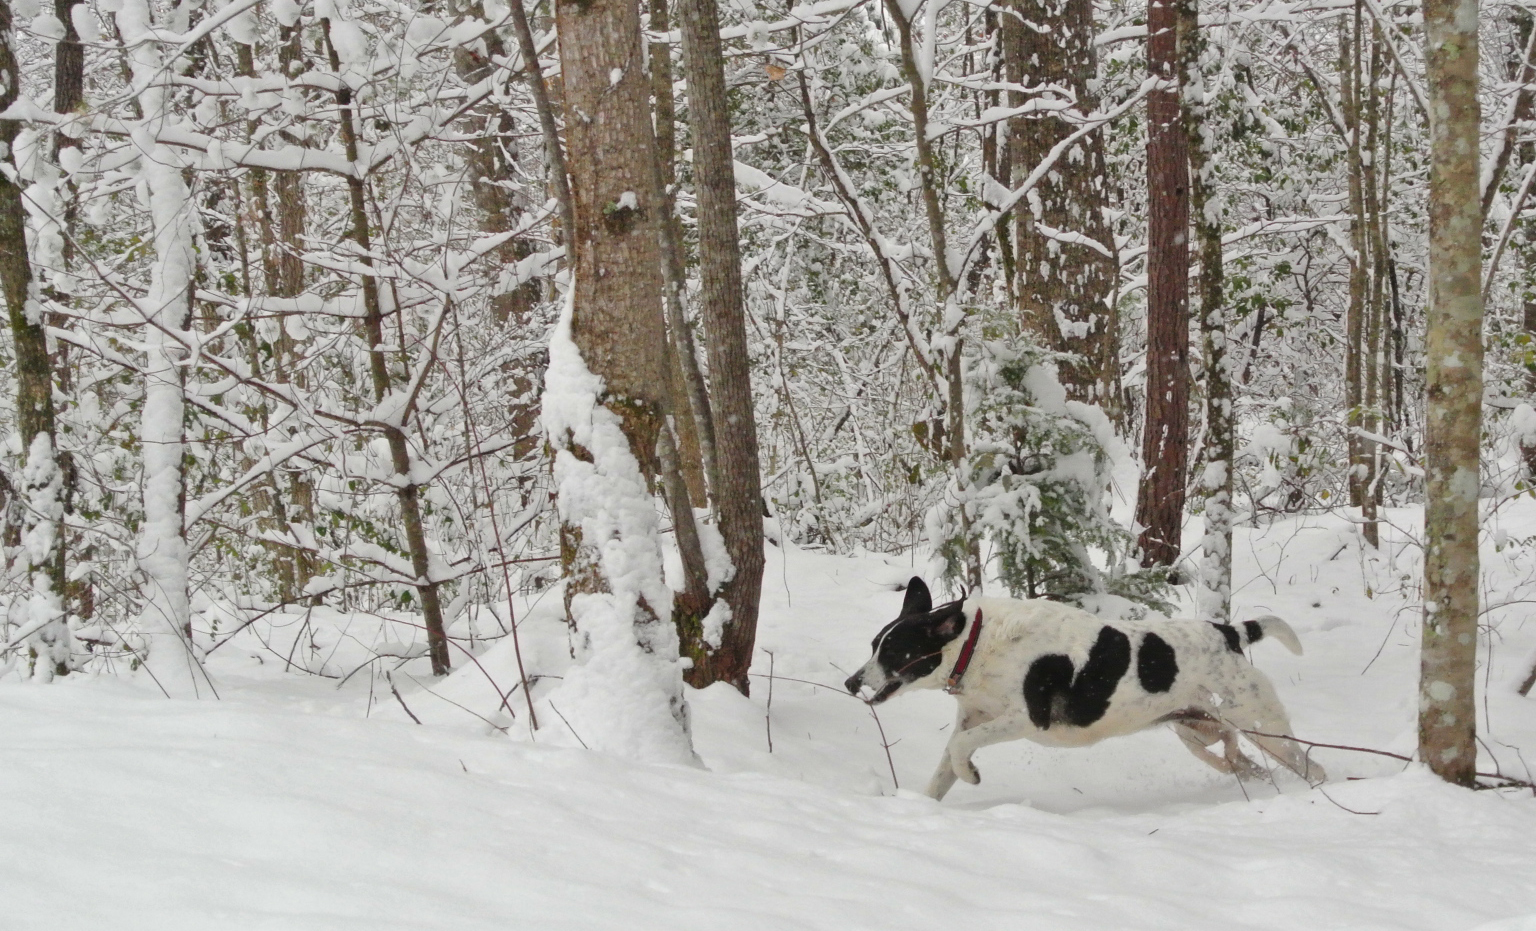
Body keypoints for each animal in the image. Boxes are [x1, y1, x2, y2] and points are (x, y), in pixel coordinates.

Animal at [847, 577, 1327, 805]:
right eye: (873, 645)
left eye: (894, 650)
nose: (851, 682)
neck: (977, 643)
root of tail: (1226, 633)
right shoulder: (973, 719)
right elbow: (947, 762)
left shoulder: (1025, 720)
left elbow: (963, 748)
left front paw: (972, 775)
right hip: (1197, 733)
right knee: (1239, 761)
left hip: (1261, 725)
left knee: (1310, 766)